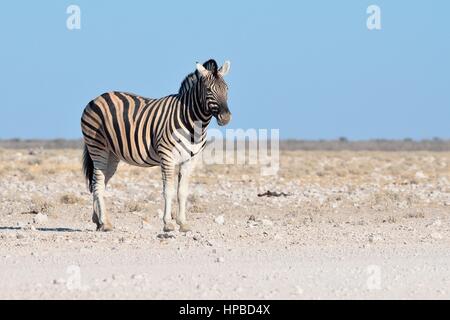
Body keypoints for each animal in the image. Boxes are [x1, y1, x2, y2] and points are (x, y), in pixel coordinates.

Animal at [80, 58, 232, 232]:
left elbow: (182, 191)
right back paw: (104, 223)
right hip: (98, 146)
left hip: (112, 154)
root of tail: (97, 98)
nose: (226, 117)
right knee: (98, 183)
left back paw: (98, 220)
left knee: (99, 183)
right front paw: (168, 223)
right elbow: (168, 191)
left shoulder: (190, 160)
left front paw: (183, 223)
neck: (193, 122)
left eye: (227, 89)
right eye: (208, 90)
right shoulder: (167, 156)